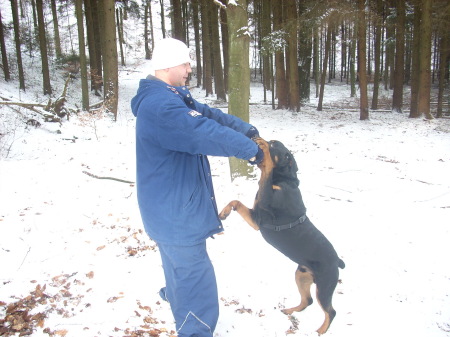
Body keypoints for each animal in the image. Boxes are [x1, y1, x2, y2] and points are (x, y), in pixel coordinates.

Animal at [220, 136, 346, 334]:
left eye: (274, 145)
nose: (257, 137)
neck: (282, 179)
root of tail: (337, 261)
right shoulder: (255, 217)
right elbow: (236, 201)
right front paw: (223, 213)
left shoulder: (260, 215)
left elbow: (266, 171)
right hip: (301, 275)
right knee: (308, 300)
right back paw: (289, 311)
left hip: (324, 285)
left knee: (331, 311)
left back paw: (320, 331)